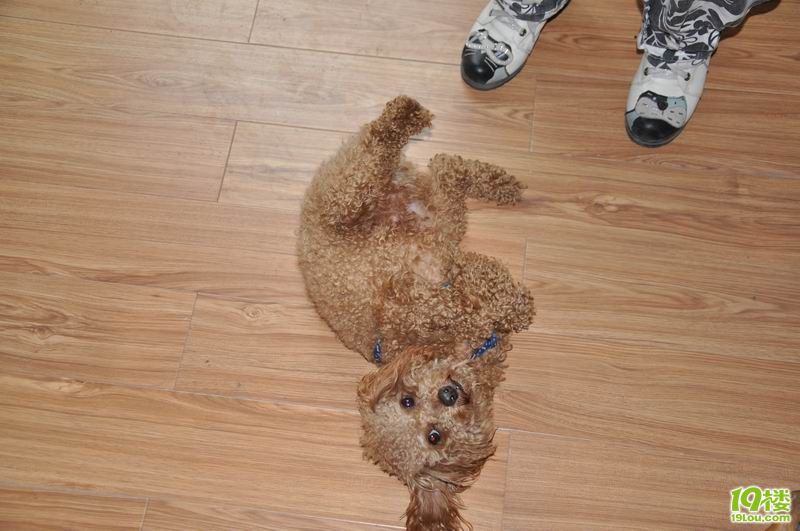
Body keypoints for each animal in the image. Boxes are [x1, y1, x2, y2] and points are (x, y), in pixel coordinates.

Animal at [298, 96, 534, 530]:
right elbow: (475, 298)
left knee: (389, 144)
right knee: (444, 167)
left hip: (348, 198)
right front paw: (512, 306)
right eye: (433, 436)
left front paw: (511, 305)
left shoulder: (419, 291)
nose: (448, 393)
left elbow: (473, 293)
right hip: (438, 213)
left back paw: (409, 115)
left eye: (406, 400)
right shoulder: (433, 295)